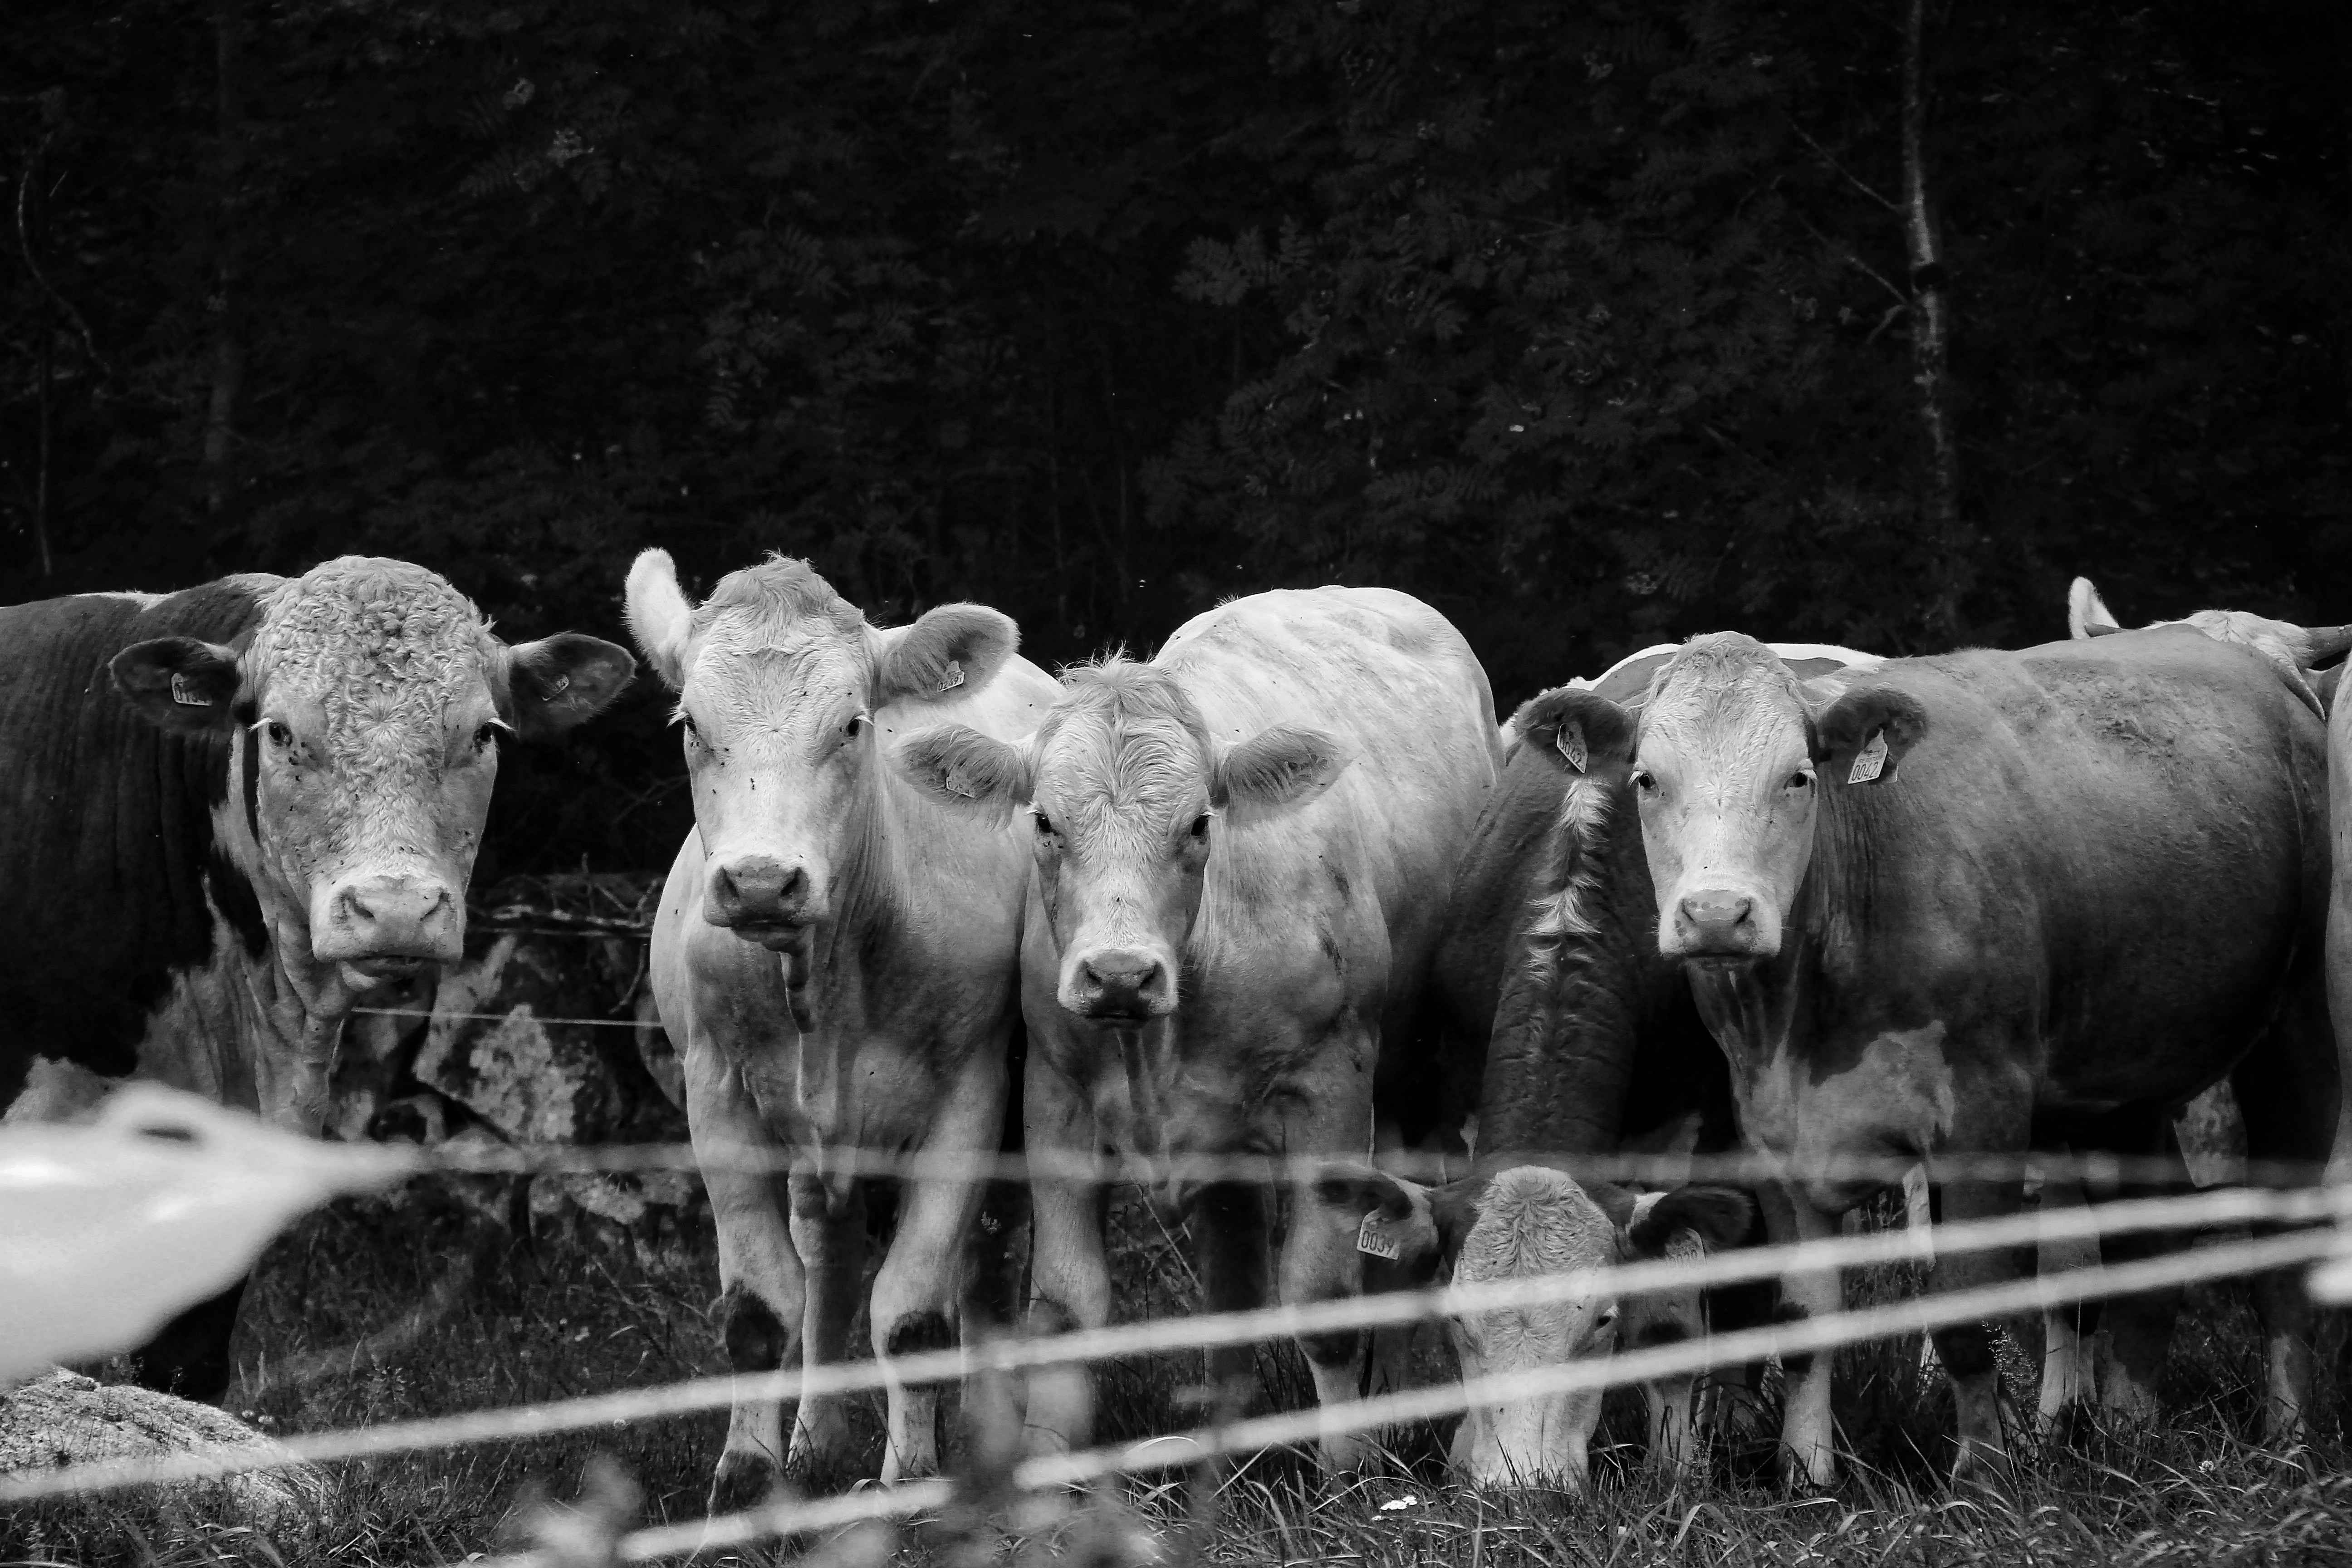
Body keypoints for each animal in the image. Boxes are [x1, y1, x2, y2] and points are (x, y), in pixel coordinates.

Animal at [625, 551, 1057, 1499]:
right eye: (689, 724)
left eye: (853, 724)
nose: (758, 881)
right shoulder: (715, 1094)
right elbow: (759, 1308)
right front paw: (743, 1479)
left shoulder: (969, 1096)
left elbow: (912, 1312)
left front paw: (909, 1484)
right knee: (828, 1260)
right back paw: (815, 1439)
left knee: (992, 1262)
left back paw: (989, 1437)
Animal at [893, 588, 1499, 1469]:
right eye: (1043, 822)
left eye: (1198, 825)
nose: (1118, 972)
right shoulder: (1056, 1100)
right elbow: (1067, 1305)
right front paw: (1046, 1460)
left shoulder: (1330, 1097)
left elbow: (1323, 1298)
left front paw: (1349, 1468)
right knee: (1234, 1276)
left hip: (1422, 1077)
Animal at [1529, 628, 2341, 1484]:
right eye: (1647, 779)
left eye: (1798, 777)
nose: (1717, 914)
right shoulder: (1776, 1138)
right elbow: (1801, 1321)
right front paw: (1805, 1475)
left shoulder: (1981, 1120)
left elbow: (1961, 1313)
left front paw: (1981, 1476)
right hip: (2126, 1082)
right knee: (2147, 1239)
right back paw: (2130, 1434)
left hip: (2297, 1034)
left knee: (2283, 1250)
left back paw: (2285, 1434)